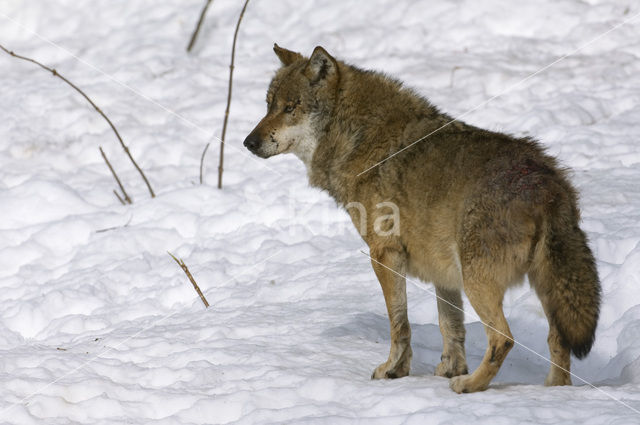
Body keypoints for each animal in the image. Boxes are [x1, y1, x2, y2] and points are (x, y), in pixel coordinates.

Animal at [242, 44, 604, 392]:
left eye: (291, 108)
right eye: (268, 106)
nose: (248, 142)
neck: (356, 137)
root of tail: (548, 183)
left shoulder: (384, 255)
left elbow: (399, 324)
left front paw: (394, 370)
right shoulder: (443, 272)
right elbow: (450, 326)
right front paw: (448, 369)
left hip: (479, 280)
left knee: (503, 338)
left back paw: (470, 386)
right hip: (541, 285)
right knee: (557, 339)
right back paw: (552, 392)